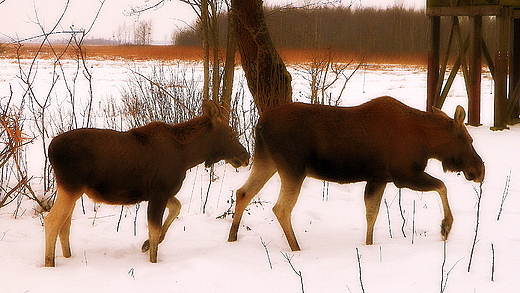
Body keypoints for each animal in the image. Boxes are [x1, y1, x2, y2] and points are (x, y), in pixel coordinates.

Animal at [44, 99, 248, 266]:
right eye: (231, 134)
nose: (246, 156)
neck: (187, 157)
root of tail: (50, 149)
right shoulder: (159, 191)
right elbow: (155, 229)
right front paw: (153, 259)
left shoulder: (161, 192)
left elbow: (176, 208)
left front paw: (146, 245)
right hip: (71, 186)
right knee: (52, 221)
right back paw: (50, 264)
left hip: (72, 189)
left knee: (65, 224)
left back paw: (68, 257)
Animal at [230, 96, 486, 251]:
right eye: (468, 140)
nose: (479, 170)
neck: (428, 142)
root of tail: (260, 124)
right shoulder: (403, 175)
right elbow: (442, 185)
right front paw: (445, 226)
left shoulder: (379, 178)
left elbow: (371, 214)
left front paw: (368, 246)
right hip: (293, 168)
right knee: (281, 208)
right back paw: (296, 248)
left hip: (267, 161)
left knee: (243, 192)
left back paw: (232, 237)